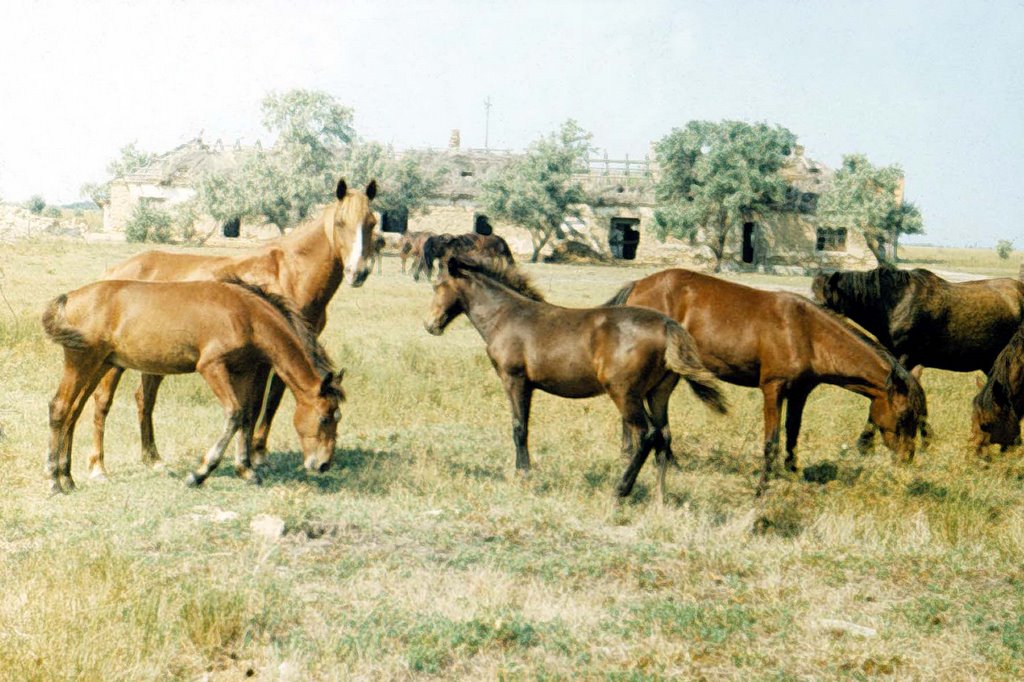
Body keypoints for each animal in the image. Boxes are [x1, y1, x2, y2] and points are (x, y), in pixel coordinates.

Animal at [41, 278, 346, 493]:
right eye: (325, 418)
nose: (323, 464)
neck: (246, 314)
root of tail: (70, 298)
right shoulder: (211, 367)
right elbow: (234, 414)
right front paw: (199, 474)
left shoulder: (244, 371)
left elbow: (247, 415)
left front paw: (246, 470)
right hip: (81, 361)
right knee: (59, 408)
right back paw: (54, 481)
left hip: (100, 365)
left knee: (73, 413)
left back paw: (68, 478)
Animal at [82, 180, 372, 477]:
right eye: (340, 222)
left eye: (372, 223)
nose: (358, 272)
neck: (288, 274)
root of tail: (112, 272)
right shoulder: (262, 361)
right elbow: (255, 406)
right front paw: (249, 458)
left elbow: (271, 402)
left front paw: (255, 455)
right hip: (116, 363)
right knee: (102, 401)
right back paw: (98, 466)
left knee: (144, 399)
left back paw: (152, 457)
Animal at [423, 253, 729, 499]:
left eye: (438, 286)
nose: (430, 325)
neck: (507, 316)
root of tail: (666, 325)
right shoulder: (529, 386)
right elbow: (525, 426)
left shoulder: (514, 379)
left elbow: (519, 427)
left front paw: (524, 474)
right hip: (658, 394)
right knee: (664, 437)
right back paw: (660, 496)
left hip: (625, 393)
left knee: (646, 434)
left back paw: (621, 490)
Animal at [606, 266, 929, 493]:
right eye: (904, 416)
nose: (908, 458)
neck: (806, 331)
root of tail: (637, 285)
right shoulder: (773, 389)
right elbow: (771, 440)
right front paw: (763, 485)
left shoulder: (800, 392)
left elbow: (793, 433)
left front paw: (793, 472)